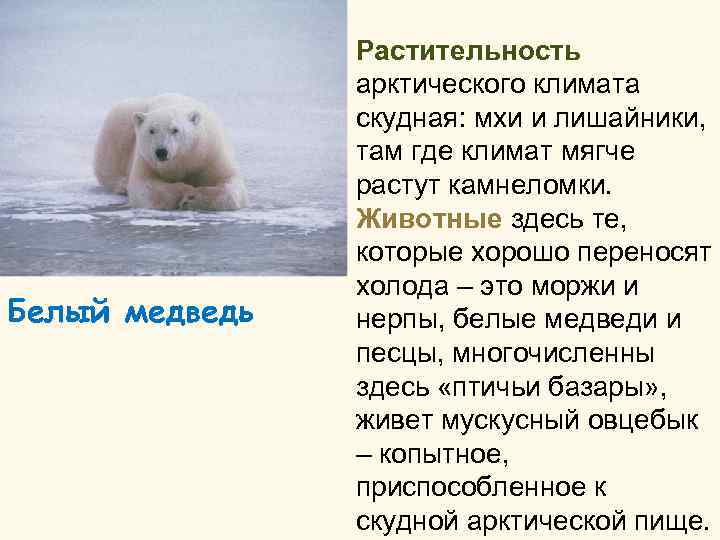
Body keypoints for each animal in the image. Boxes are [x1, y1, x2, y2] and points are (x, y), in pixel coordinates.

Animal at [94, 94, 247, 210]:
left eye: (175, 129)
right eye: (151, 130)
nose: (161, 151)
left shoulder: (210, 152)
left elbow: (230, 182)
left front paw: (194, 198)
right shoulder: (146, 159)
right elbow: (145, 187)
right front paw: (186, 192)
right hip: (120, 123)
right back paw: (122, 184)